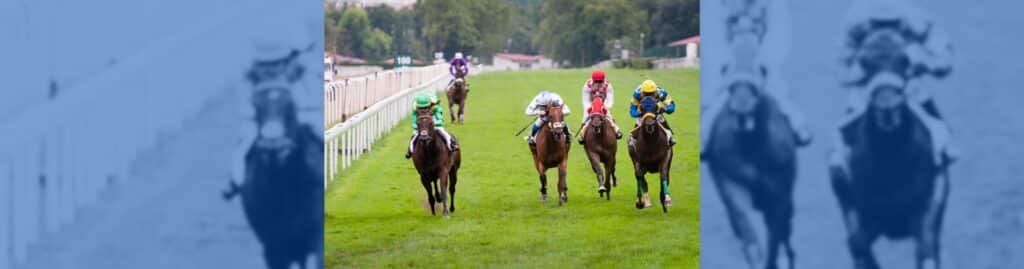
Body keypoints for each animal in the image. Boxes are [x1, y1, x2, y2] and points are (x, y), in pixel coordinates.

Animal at [708, 80, 794, 269]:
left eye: (756, 91)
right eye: (731, 88)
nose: (741, 107)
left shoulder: (781, 193)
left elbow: (777, 232)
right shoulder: (731, 181)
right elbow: (745, 221)